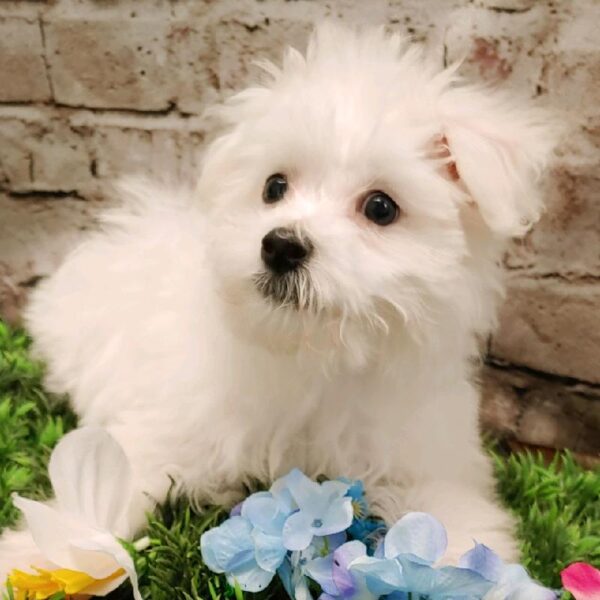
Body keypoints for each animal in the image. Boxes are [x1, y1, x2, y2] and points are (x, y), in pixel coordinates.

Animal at [0, 24, 556, 576]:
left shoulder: (427, 455)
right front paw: (40, 554)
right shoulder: (171, 422)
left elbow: (457, 518)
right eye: (274, 187)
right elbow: (110, 482)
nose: (280, 245)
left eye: (381, 207)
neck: (315, 357)